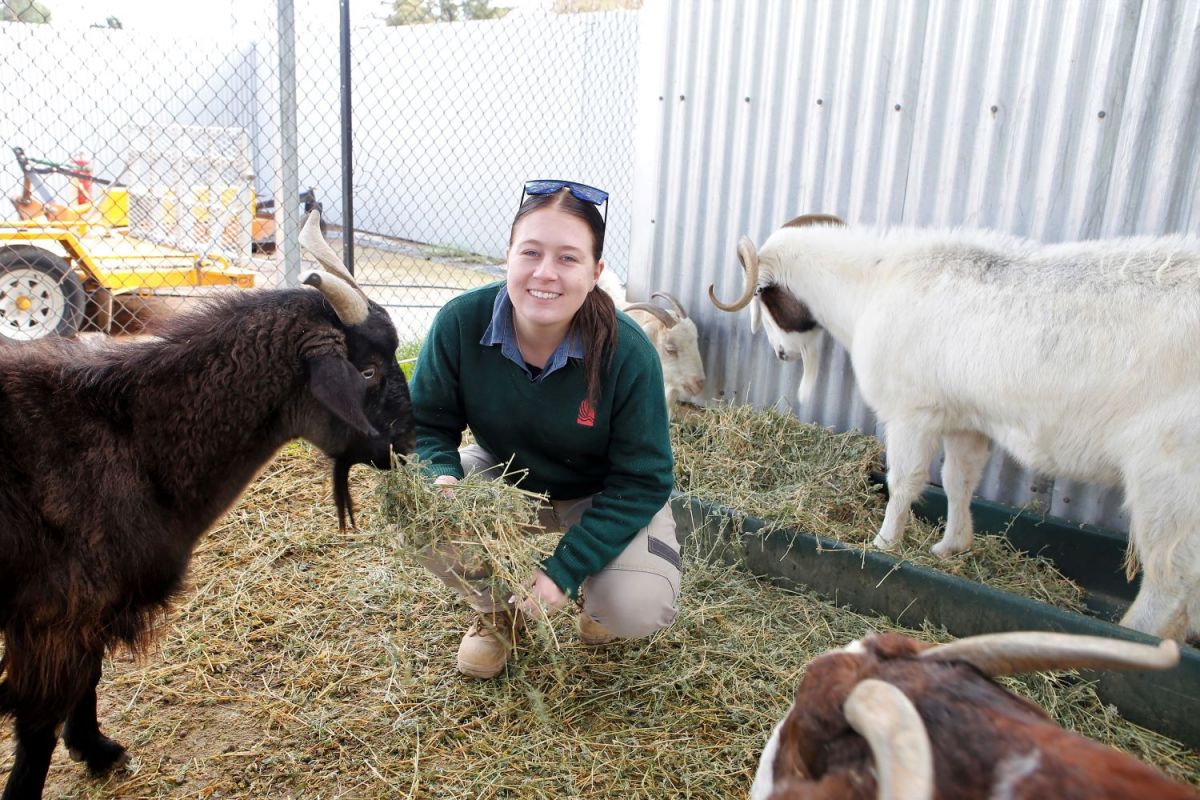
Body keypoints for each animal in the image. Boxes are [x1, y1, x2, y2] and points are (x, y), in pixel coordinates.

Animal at [0, 212, 415, 800]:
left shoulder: (90, 612)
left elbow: (89, 680)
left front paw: (96, 749)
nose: (407, 442)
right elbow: (38, 731)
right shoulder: (56, 616)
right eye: (368, 370)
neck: (134, 437)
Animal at [705, 215, 1200, 642]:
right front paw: (951, 547)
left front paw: (883, 543)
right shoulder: (965, 419)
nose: (782, 354)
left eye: (764, 296)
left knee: (1168, 581)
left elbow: (904, 480)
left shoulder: (911, 412)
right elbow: (958, 479)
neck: (871, 286)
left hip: (1167, 480)